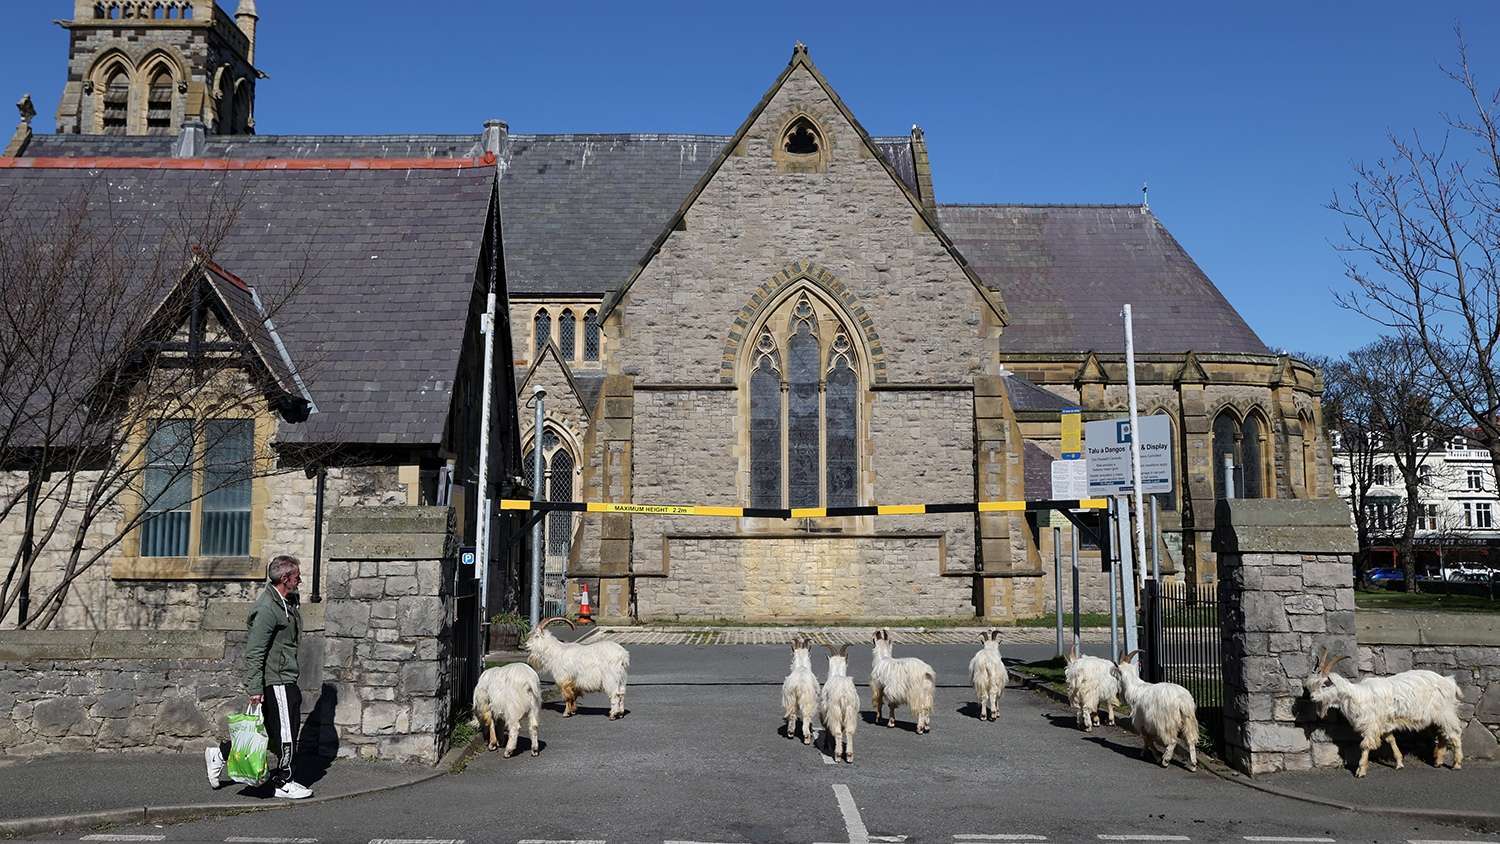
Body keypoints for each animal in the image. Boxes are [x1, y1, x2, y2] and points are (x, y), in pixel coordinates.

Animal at [1302, 647, 1464, 779]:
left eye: (1324, 684)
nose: (1311, 697)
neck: (1356, 696)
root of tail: (1450, 681)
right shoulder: (1384, 723)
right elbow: (1391, 740)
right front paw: (1399, 762)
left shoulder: (1371, 724)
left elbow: (1365, 746)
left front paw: (1361, 771)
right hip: (1437, 716)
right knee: (1443, 735)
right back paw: (1438, 761)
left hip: (1445, 712)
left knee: (1454, 734)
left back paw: (1456, 764)